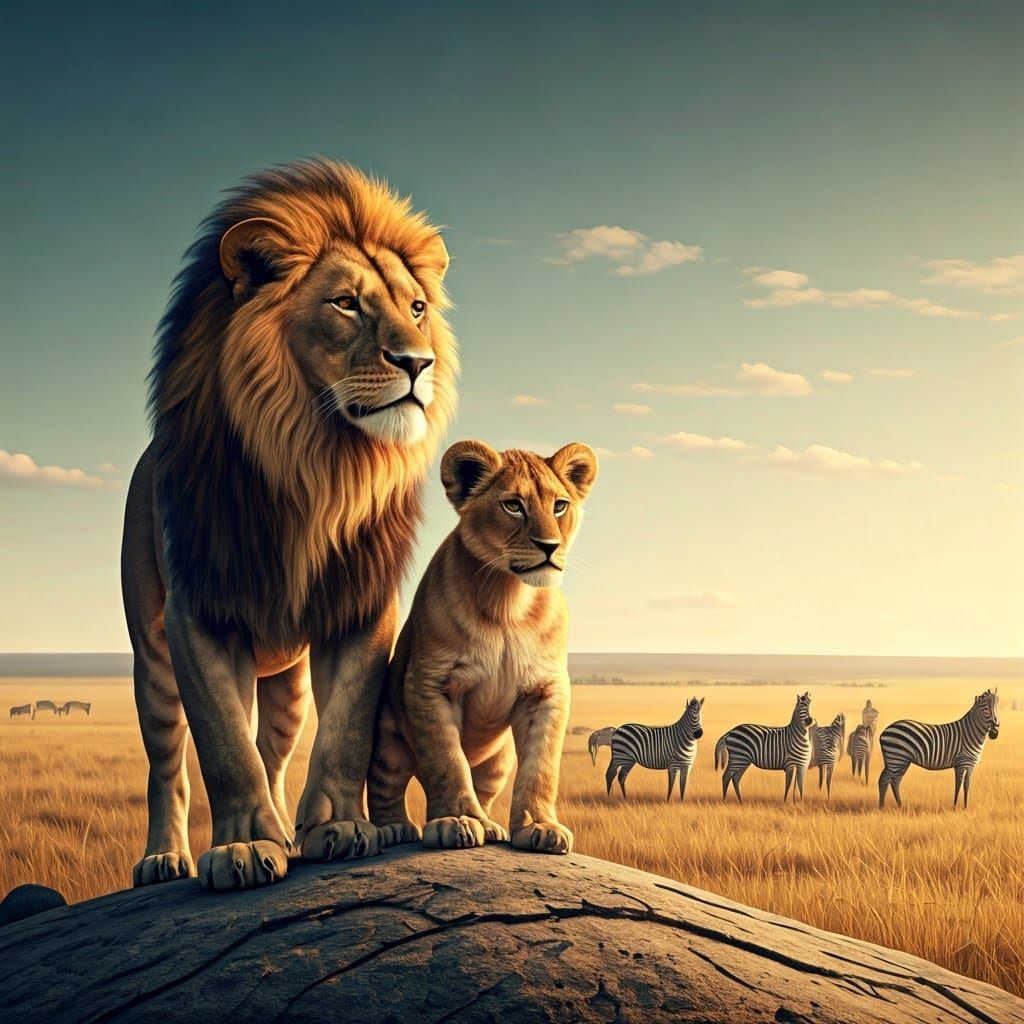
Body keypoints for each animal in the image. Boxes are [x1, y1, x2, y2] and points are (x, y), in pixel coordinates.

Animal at [121, 159, 456, 890]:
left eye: (416, 308)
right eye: (346, 304)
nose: (418, 362)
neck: (317, 462)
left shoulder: (361, 605)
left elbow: (347, 727)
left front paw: (340, 826)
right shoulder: (199, 612)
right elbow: (222, 742)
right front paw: (245, 845)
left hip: (287, 684)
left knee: (274, 749)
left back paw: (287, 826)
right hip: (152, 661)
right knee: (167, 764)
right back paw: (164, 857)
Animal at [367, 440, 598, 854]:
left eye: (559, 506)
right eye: (513, 506)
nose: (550, 546)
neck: (509, 602)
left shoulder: (547, 691)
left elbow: (541, 766)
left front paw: (540, 826)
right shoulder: (430, 683)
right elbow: (447, 760)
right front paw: (457, 820)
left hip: (497, 759)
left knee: (484, 785)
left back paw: (491, 825)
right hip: (388, 742)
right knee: (386, 787)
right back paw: (394, 829)